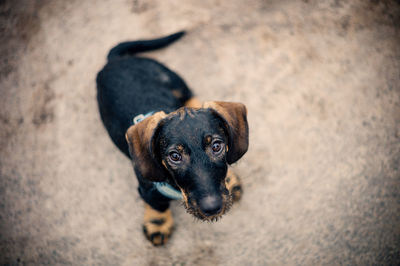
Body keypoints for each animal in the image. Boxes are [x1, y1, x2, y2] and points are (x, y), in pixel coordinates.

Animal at [95, 31, 248, 245]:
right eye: (174, 156)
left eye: (217, 146)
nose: (212, 208)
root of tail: (115, 60)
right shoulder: (148, 190)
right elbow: (158, 205)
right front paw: (157, 223)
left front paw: (229, 178)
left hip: (175, 79)